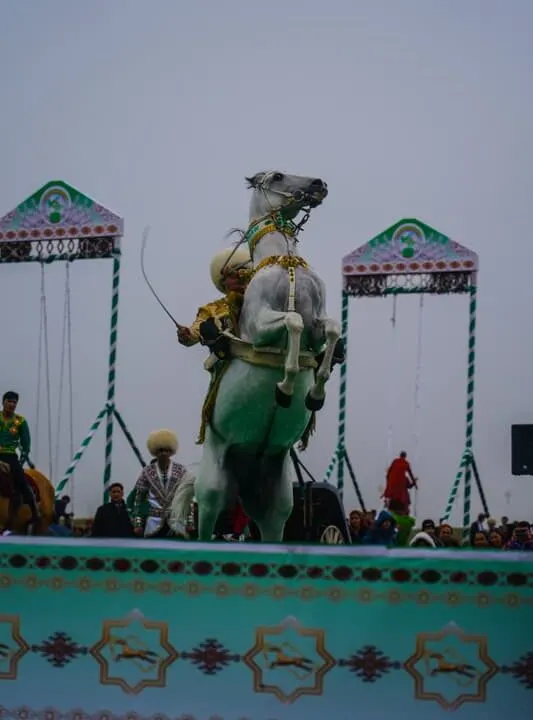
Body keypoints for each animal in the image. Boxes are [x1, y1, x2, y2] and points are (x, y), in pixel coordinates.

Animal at [172, 170, 342, 540]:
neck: (285, 262)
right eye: (277, 176)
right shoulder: (262, 324)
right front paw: (286, 388)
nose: (319, 185)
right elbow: (292, 322)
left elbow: (332, 330)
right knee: (206, 526)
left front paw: (316, 392)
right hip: (212, 491)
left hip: (276, 502)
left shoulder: (319, 322)